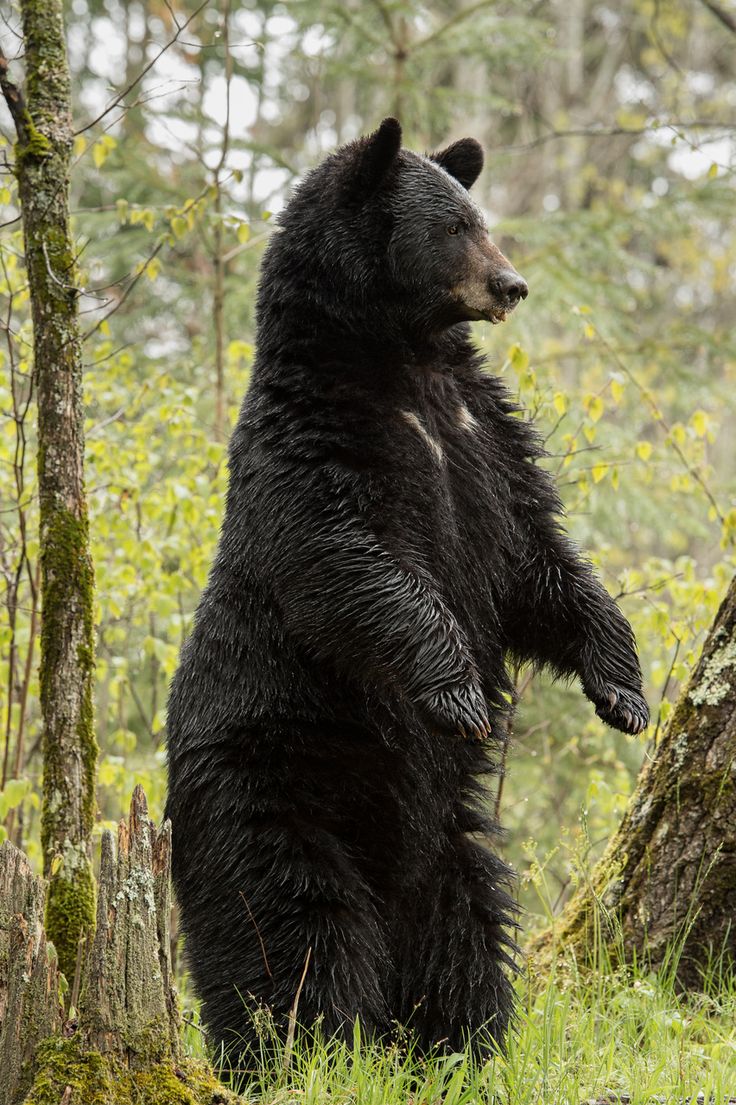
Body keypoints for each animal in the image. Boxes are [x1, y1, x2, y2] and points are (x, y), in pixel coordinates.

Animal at [164, 118, 640, 1060]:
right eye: (454, 228)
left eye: (480, 217)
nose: (512, 284)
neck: (400, 360)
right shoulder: (316, 446)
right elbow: (353, 564)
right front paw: (456, 693)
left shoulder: (482, 442)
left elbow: (540, 563)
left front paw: (624, 690)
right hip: (267, 784)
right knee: (290, 930)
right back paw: (306, 1049)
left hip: (446, 843)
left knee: (462, 932)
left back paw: (457, 1041)